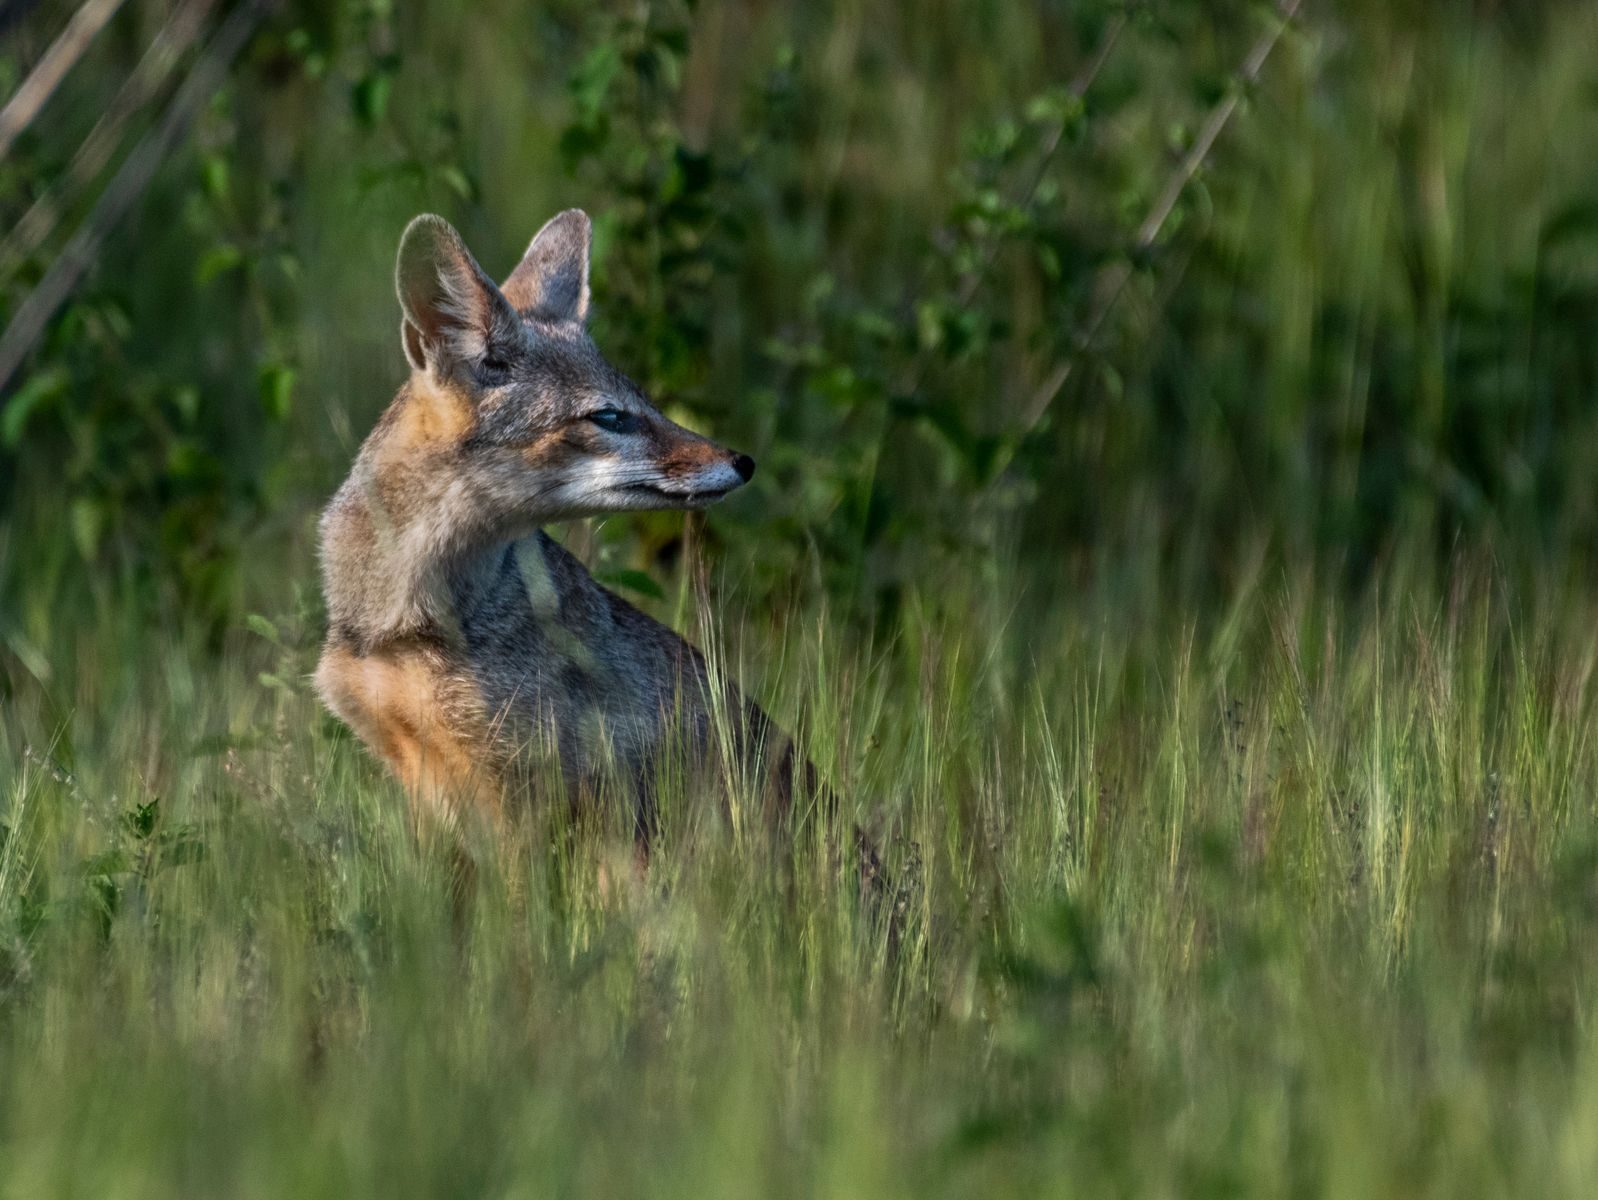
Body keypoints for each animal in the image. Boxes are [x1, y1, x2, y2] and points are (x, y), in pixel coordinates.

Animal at [314, 209, 879, 887]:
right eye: (610, 418)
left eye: (649, 405)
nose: (743, 462)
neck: (406, 619)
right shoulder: (430, 783)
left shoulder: (518, 796)